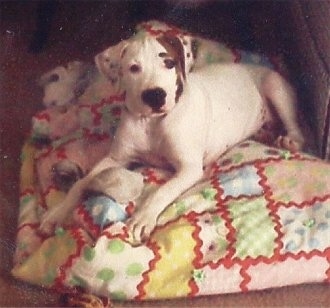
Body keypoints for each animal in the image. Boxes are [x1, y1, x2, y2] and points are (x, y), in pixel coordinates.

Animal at [38, 32, 304, 242]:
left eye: (168, 63)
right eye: (133, 68)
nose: (155, 95)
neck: (152, 123)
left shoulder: (189, 169)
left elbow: (161, 191)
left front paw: (142, 218)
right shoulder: (116, 158)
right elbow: (82, 182)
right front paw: (57, 213)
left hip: (274, 86)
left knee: (297, 128)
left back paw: (289, 139)